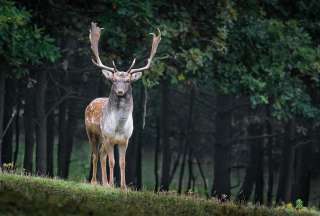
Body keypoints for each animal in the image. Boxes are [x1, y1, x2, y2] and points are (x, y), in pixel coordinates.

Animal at [84, 22, 160, 189]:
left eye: (127, 81)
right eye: (114, 80)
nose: (119, 91)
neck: (119, 127)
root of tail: (91, 102)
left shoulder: (125, 140)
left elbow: (123, 162)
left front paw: (123, 187)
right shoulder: (109, 137)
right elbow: (112, 162)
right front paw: (113, 184)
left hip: (103, 139)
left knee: (101, 154)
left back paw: (104, 183)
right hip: (92, 133)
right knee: (95, 154)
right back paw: (95, 181)